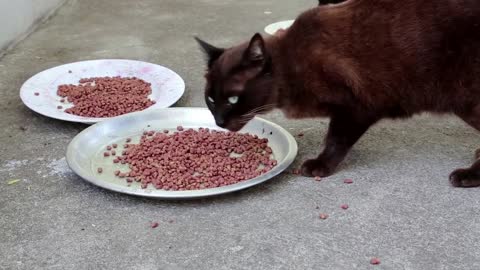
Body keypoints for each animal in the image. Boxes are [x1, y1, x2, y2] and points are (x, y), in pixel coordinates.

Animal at [194, 0, 480, 187]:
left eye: (233, 99)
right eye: (211, 99)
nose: (219, 121)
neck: (290, 65)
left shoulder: (357, 108)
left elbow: (335, 140)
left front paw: (320, 166)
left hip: (465, 101)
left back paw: (468, 175)